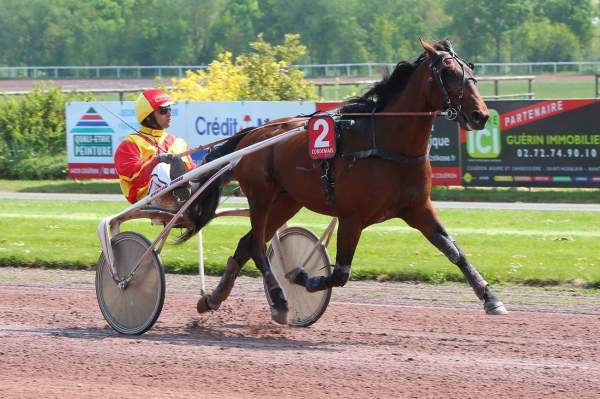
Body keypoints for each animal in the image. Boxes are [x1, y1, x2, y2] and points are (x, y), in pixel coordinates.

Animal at [183, 39, 506, 324]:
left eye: (470, 68)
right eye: (448, 72)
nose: (480, 115)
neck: (386, 143)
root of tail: (252, 134)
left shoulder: (418, 208)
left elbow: (454, 251)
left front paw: (489, 297)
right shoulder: (352, 217)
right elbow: (340, 272)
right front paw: (301, 276)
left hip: (286, 201)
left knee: (247, 243)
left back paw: (212, 299)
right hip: (260, 196)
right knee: (258, 248)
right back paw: (278, 298)